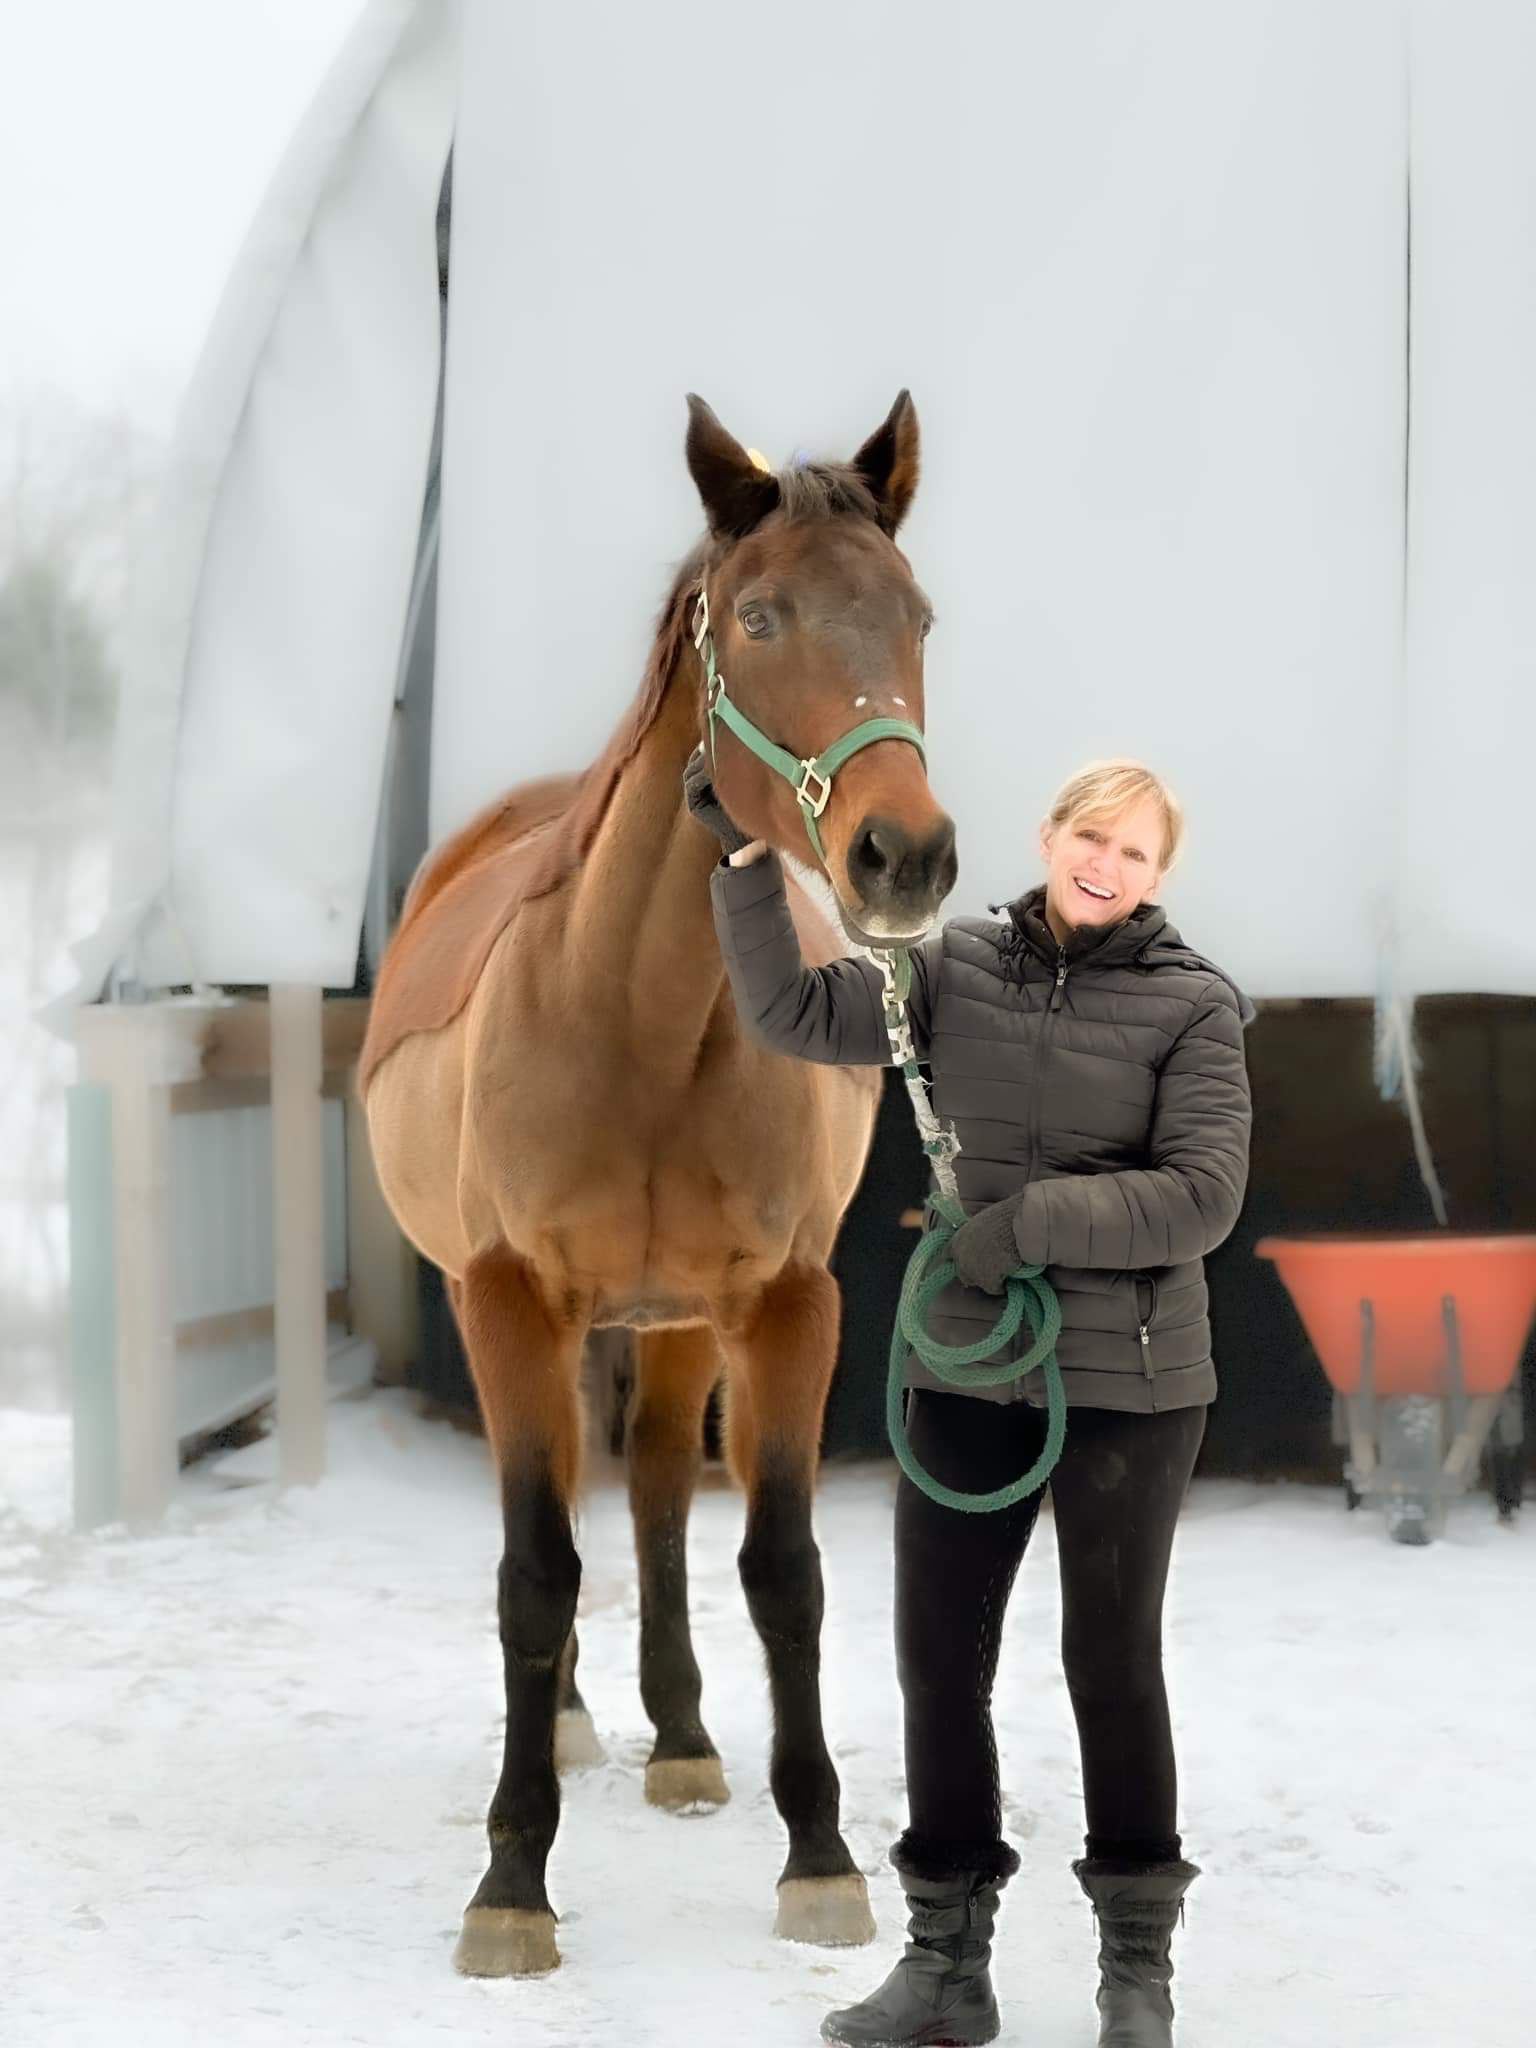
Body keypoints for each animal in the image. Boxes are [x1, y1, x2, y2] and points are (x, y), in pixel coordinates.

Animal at [364, 391, 962, 1974]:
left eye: (916, 617)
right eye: (757, 616)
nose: (905, 853)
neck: (637, 1016)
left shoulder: (788, 1308)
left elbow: (783, 1569)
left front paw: (819, 1856)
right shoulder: (509, 1301)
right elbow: (533, 1571)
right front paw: (512, 1880)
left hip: (680, 1321)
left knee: (648, 1496)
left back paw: (684, 1739)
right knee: (578, 1502)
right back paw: (576, 1725)